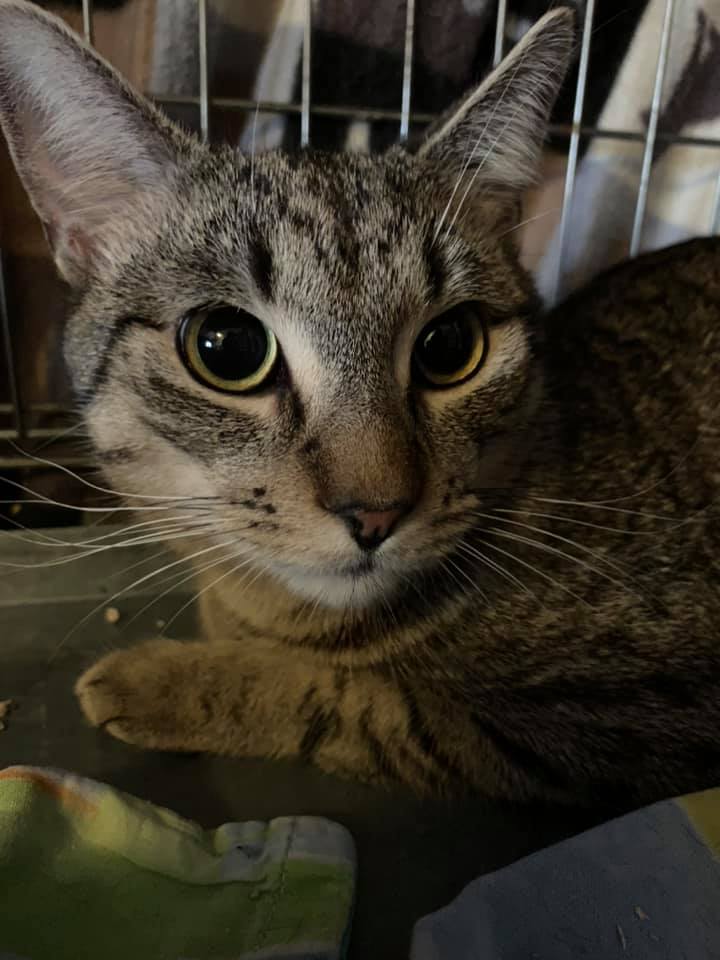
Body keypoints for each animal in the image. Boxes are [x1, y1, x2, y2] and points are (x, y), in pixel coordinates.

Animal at [1, 0, 719, 807]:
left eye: (450, 345)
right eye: (226, 347)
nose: (376, 513)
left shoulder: (626, 715)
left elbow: (367, 702)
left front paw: (165, 679)